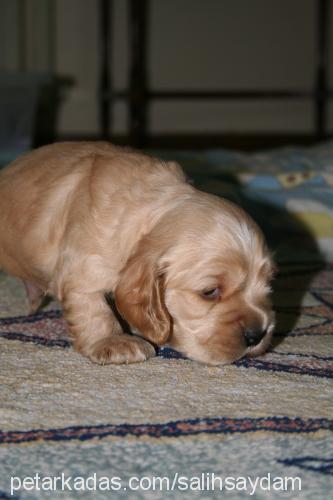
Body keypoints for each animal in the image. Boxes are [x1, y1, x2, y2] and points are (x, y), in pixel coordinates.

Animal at [0, 143, 274, 366]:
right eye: (210, 292)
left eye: (268, 284)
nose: (258, 334)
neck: (151, 211)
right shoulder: (82, 268)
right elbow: (92, 307)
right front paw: (114, 342)